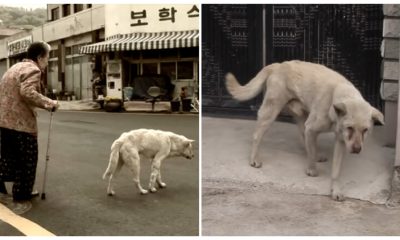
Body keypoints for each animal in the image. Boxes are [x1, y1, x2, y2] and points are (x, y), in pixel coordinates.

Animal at [225, 59, 384, 201]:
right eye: (350, 127)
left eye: (365, 130)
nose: (357, 150)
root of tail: (278, 65)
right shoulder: (313, 128)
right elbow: (312, 154)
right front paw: (312, 170)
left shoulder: (340, 141)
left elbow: (335, 171)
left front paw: (336, 190)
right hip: (271, 112)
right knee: (257, 135)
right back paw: (254, 159)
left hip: (302, 116)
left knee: (305, 138)